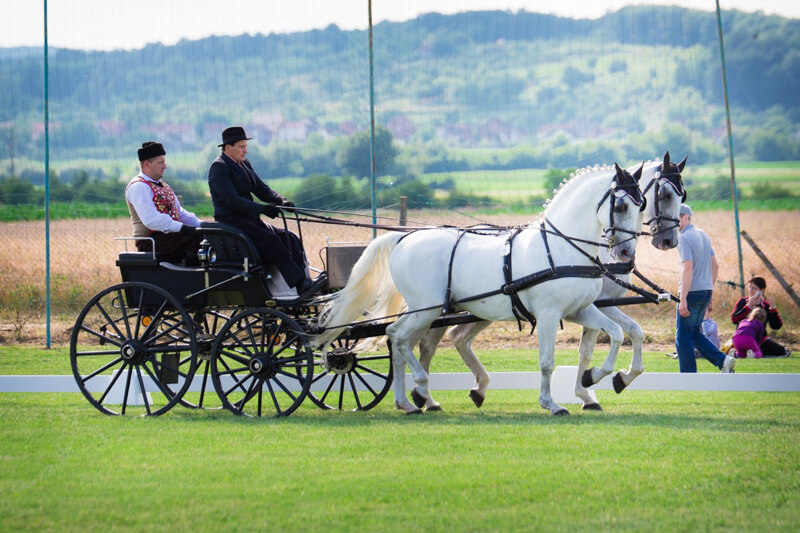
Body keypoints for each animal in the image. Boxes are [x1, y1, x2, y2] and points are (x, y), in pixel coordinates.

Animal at [313, 163, 645, 415]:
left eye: (641, 206)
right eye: (620, 205)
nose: (626, 254)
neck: (562, 247)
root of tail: (404, 238)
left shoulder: (580, 310)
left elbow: (617, 334)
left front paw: (598, 377)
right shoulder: (549, 315)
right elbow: (547, 362)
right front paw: (551, 403)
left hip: (429, 312)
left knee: (403, 340)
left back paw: (410, 401)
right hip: (425, 309)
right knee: (397, 336)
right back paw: (418, 388)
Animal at [415, 151, 687, 411]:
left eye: (681, 196)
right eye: (664, 194)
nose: (669, 241)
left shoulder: (600, 305)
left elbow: (633, 332)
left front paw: (615, 380)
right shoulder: (600, 304)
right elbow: (587, 351)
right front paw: (586, 390)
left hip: (481, 310)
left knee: (456, 337)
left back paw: (467, 391)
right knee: (429, 342)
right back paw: (426, 397)